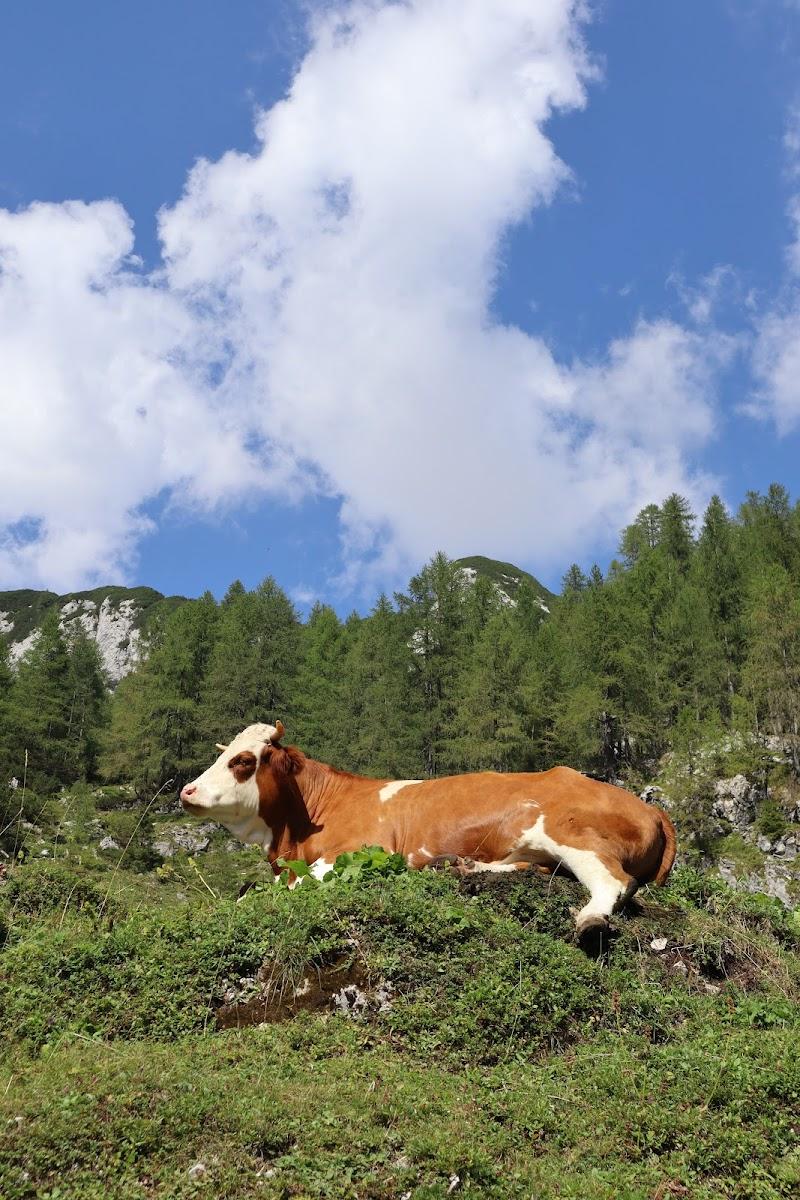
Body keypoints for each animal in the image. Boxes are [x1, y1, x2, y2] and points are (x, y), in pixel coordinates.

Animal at [180, 721, 676, 943]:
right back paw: (465, 865)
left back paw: (590, 919)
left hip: (571, 832)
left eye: (243, 761)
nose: (187, 790)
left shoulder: (362, 850)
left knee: (614, 881)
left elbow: (296, 885)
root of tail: (647, 805)